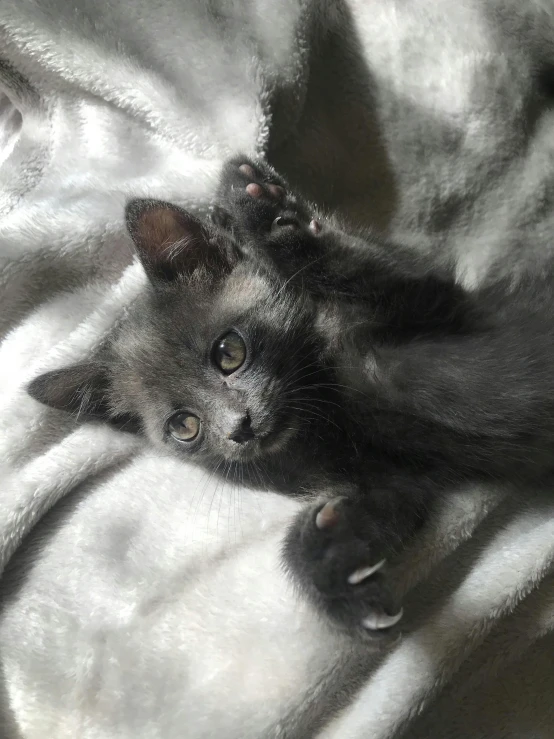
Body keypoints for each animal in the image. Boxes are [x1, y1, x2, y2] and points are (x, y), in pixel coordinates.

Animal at [25, 159, 554, 640]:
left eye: (229, 352)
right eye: (184, 426)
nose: (239, 428)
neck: (327, 401)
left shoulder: (440, 305)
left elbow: (360, 265)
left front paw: (254, 202)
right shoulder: (396, 475)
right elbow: (385, 508)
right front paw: (333, 569)